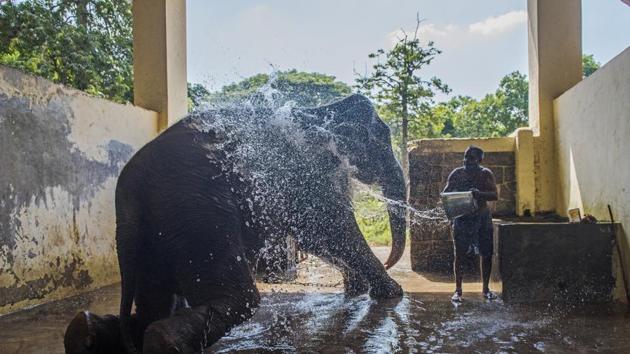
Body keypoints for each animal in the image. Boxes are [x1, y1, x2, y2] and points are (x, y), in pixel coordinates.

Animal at [65, 92, 410, 352]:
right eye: (382, 140)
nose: (391, 262)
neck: (321, 110)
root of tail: (131, 189)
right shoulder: (305, 169)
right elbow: (327, 226)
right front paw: (390, 293)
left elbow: (317, 233)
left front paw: (358, 290)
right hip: (198, 209)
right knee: (240, 299)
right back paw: (162, 341)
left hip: (152, 231)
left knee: (153, 307)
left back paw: (87, 333)